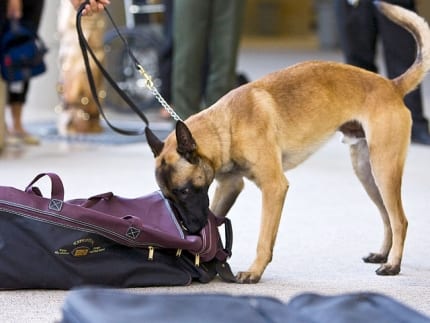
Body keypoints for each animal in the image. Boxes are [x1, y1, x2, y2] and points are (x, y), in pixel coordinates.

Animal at [145, 3, 430, 284]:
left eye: (184, 191)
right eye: (169, 197)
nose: (190, 230)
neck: (226, 124)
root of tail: (391, 86)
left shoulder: (274, 188)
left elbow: (263, 238)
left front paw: (254, 271)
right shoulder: (229, 185)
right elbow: (214, 215)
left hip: (383, 170)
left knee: (400, 220)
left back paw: (393, 264)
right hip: (367, 173)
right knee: (387, 218)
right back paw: (384, 254)